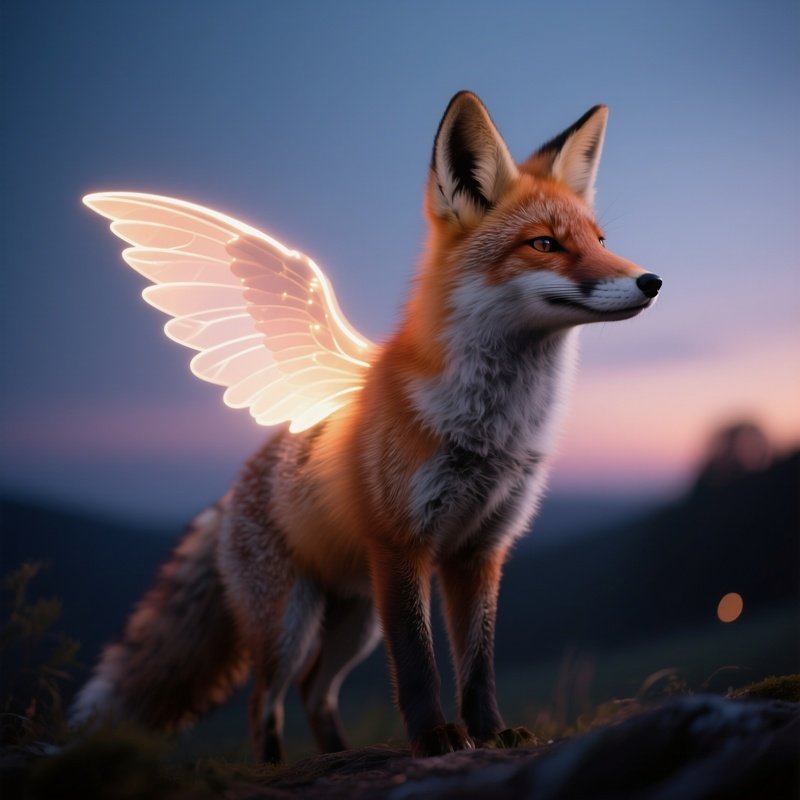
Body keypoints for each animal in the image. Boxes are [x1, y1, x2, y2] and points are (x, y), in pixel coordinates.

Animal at [70, 91, 661, 760]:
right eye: (544, 244)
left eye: (600, 238)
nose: (652, 281)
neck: (491, 430)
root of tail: (231, 493)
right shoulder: (402, 543)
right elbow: (419, 665)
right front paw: (434, 737)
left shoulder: (480, 550)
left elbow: (477, 663)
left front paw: (491, 732)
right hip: (292, 624)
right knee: (264, 700)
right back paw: (277, 768)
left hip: (354, 622)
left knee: (314, 692)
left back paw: (337, 753)